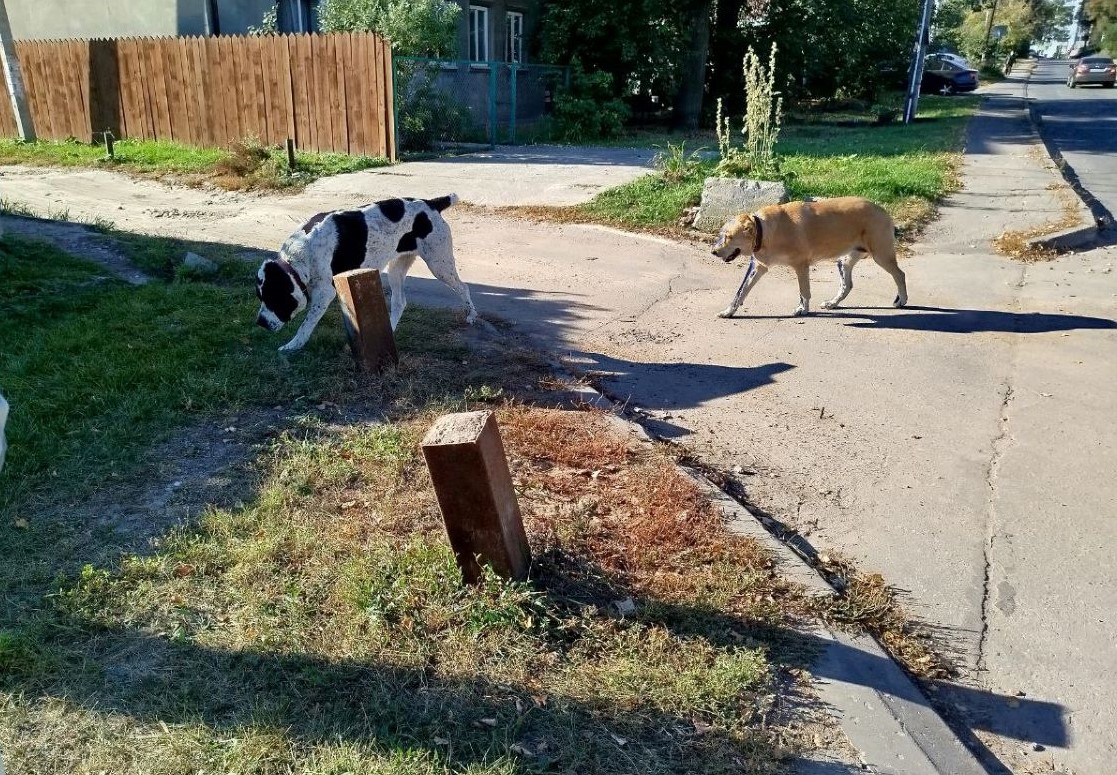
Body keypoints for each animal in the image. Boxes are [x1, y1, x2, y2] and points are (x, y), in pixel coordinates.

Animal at [255, 195, 478, 352]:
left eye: (274, 298)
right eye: (260, 298)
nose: (260, 323)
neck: (300, 254)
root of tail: (431, 203)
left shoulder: (325, 292)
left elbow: (306, 324)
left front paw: (293, 345)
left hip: (439, 264)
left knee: (463, 287)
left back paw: (472, 315)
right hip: (396, 269)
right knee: (399, 302)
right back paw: (389, 330)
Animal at [714, 197, 907, 319]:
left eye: (729, 237)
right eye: (721, 235)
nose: (713, 252)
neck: (765, 230)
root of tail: (882, 210)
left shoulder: (801, 265)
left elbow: (804, 291)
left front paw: (802, 309)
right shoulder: (758, 267)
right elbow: (741, 292)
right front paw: (729, 311)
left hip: (881, 255)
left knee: (900, 274)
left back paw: (902, 300)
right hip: (844, 262)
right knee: (847, 285)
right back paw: (832, 303)